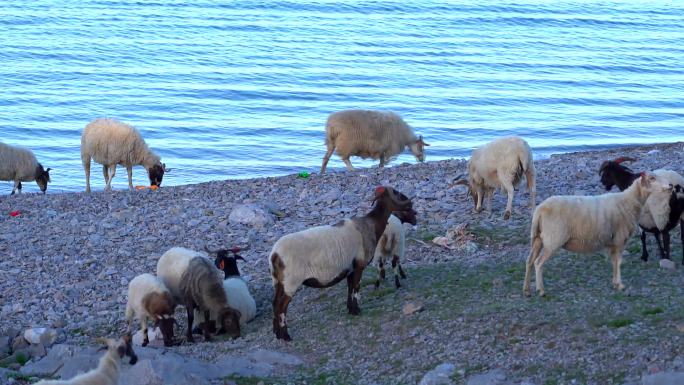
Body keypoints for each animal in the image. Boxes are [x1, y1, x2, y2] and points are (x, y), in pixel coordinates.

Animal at [270, 185, 414, 340]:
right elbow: (356, 288)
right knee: (281, 306)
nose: (411, 204)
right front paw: (357, 311)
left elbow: (350, 289)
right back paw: (285, 336)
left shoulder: (350, 268)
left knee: (275, 304)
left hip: (278, 282)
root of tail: (274, 254)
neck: (371, 224)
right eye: (396, 193)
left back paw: (276, 333)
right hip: (291, 283)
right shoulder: (359, 266)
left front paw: (351, 309)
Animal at [524, 172, 672, 296]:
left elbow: (614, 262)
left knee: (529, 261)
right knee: (538, 263)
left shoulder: (613, 242)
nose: (671, 185)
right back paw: (541, 290)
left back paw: (527, 290)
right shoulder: (619, 239)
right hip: (552, 239)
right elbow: (619, 262)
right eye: (652, 178)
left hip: (537, 238)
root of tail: (539, 210)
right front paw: (620, 285)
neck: (629, 201)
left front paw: (615, 283)